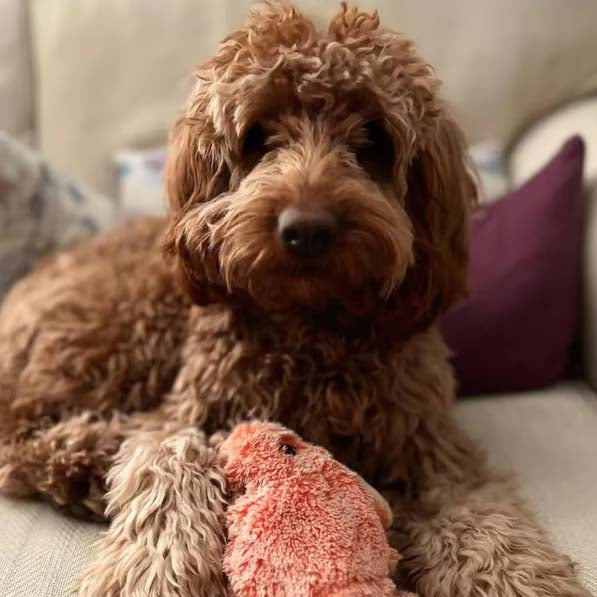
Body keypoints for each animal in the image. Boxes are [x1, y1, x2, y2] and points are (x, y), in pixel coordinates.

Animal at [0, 4, 588, 596]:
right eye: (258, 135)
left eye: (373, 138)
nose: (307, 231)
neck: (311, 328)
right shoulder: (186, 415)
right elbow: (171, 469)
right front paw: (156, 571)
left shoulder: (435, 452)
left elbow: (484, 524)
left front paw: (519, 577)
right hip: (122, 329)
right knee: (19, 433)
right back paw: (90, 457)